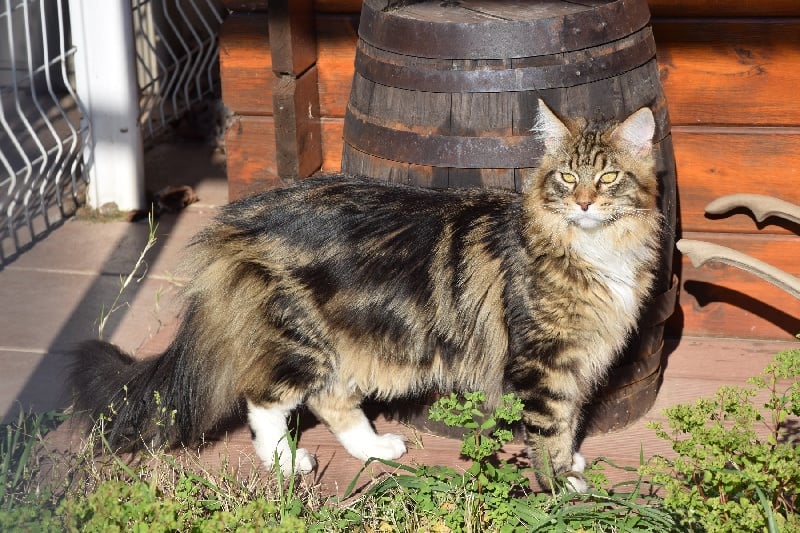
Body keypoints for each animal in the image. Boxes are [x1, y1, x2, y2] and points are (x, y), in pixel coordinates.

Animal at [72, 98, 664, 490]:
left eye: (608, 178)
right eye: (567, 178)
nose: (584, 202)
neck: (592, 250)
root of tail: (244, 217)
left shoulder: (576, 362)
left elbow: (567, 426)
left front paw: (569, 465)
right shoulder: (542, 363)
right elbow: (546, 431)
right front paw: (559, 487)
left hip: (350, 342)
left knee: (329, 399)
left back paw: (376, 449)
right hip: (303, 338)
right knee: (265, 400)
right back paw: (286, 463)